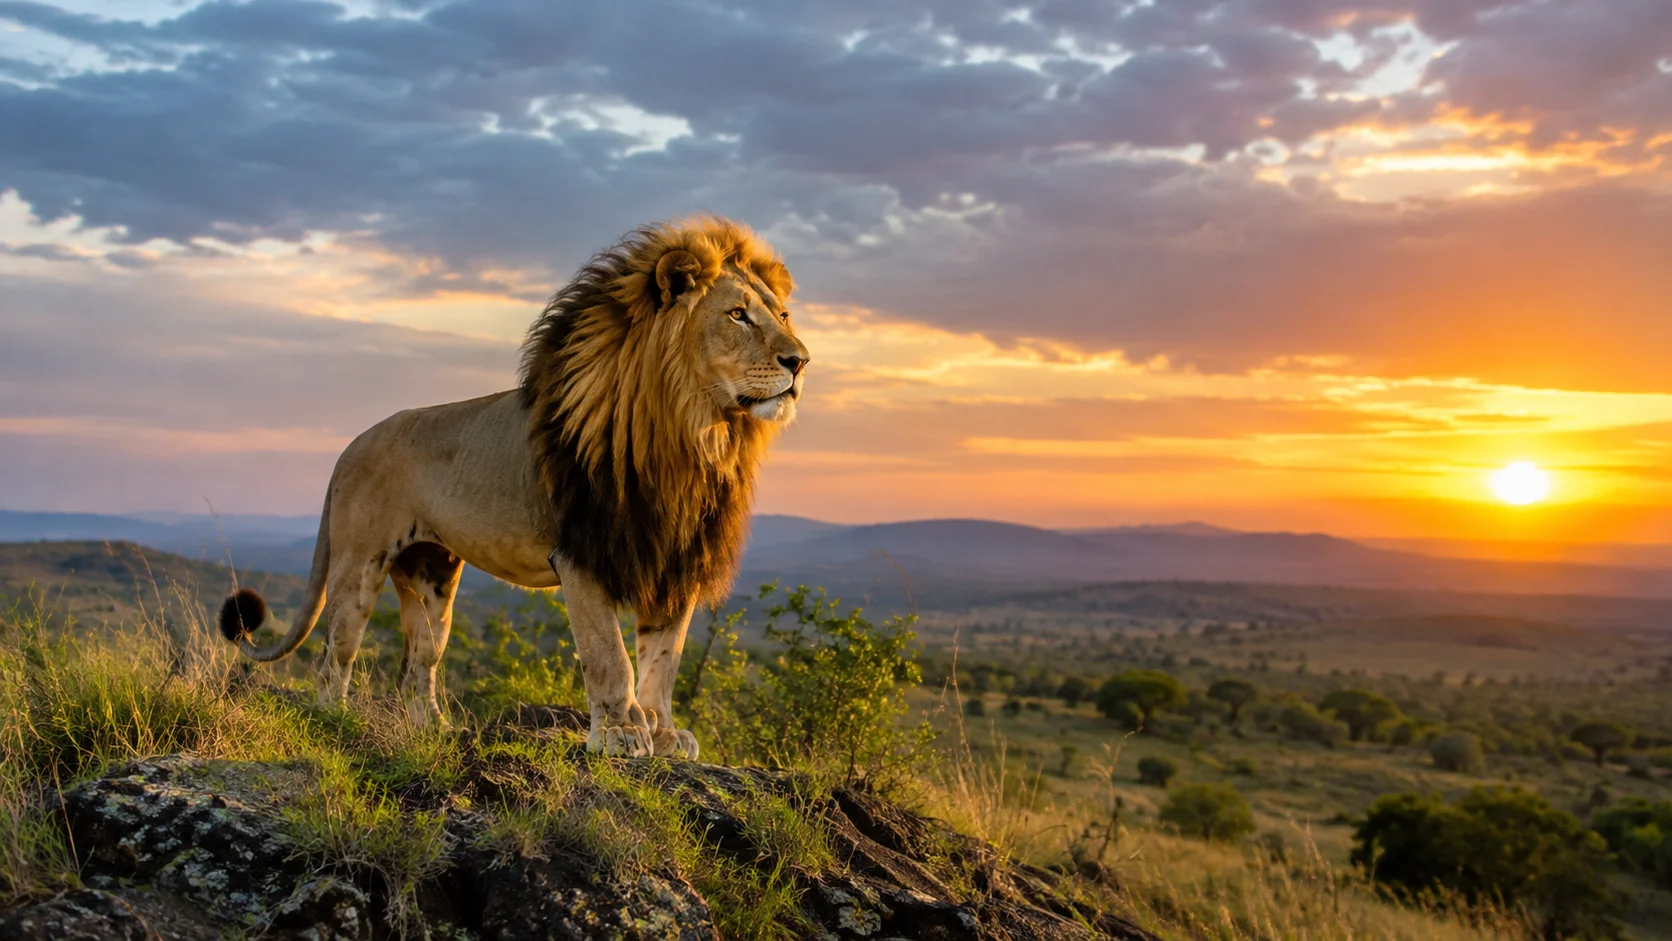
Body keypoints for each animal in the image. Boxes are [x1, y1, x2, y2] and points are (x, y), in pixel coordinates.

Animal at [217, 216, 809, 759]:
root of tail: (349, 446)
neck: (694, 433)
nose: (800, 361)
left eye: (781, 315)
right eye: (737, 315)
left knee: (418, 665)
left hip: (431, 576)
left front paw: (663, 733)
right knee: (333, 656)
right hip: (359, 565)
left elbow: (664, 658)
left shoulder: (674, 556)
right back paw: (335, 723)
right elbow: (609, 655)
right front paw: (620, 733)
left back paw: (434, 731)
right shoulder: (582, 552)